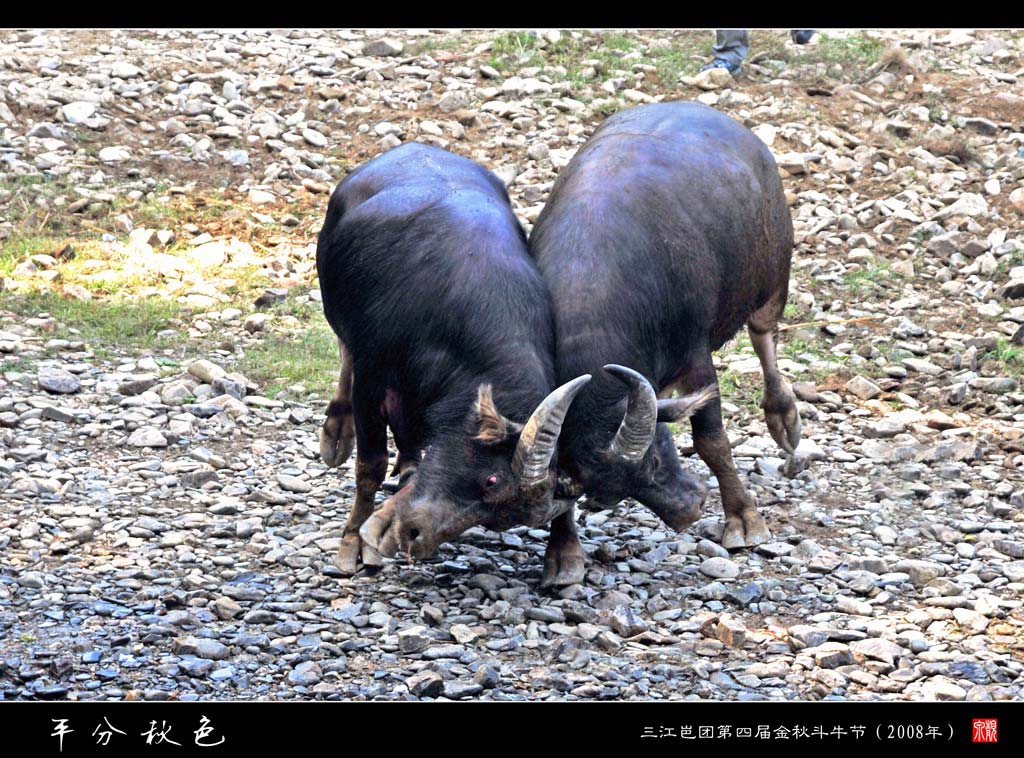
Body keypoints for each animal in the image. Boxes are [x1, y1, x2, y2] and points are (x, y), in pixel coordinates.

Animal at [319, 140, 593, 581]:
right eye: (492, 479)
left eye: (495, 516)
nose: (415, 537)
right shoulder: (372, 374)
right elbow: (370, 466)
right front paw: (351, 544)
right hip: (337, 312)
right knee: (344, 353)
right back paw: (336, 434)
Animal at [528, 101, 798, 581]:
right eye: (600, 495)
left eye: (654, 458)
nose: (688, 513)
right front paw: (563, 555)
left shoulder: (696, 357)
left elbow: (712, 441)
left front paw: (743, 518)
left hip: (772, 274)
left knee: (764, 336)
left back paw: (783, 416)